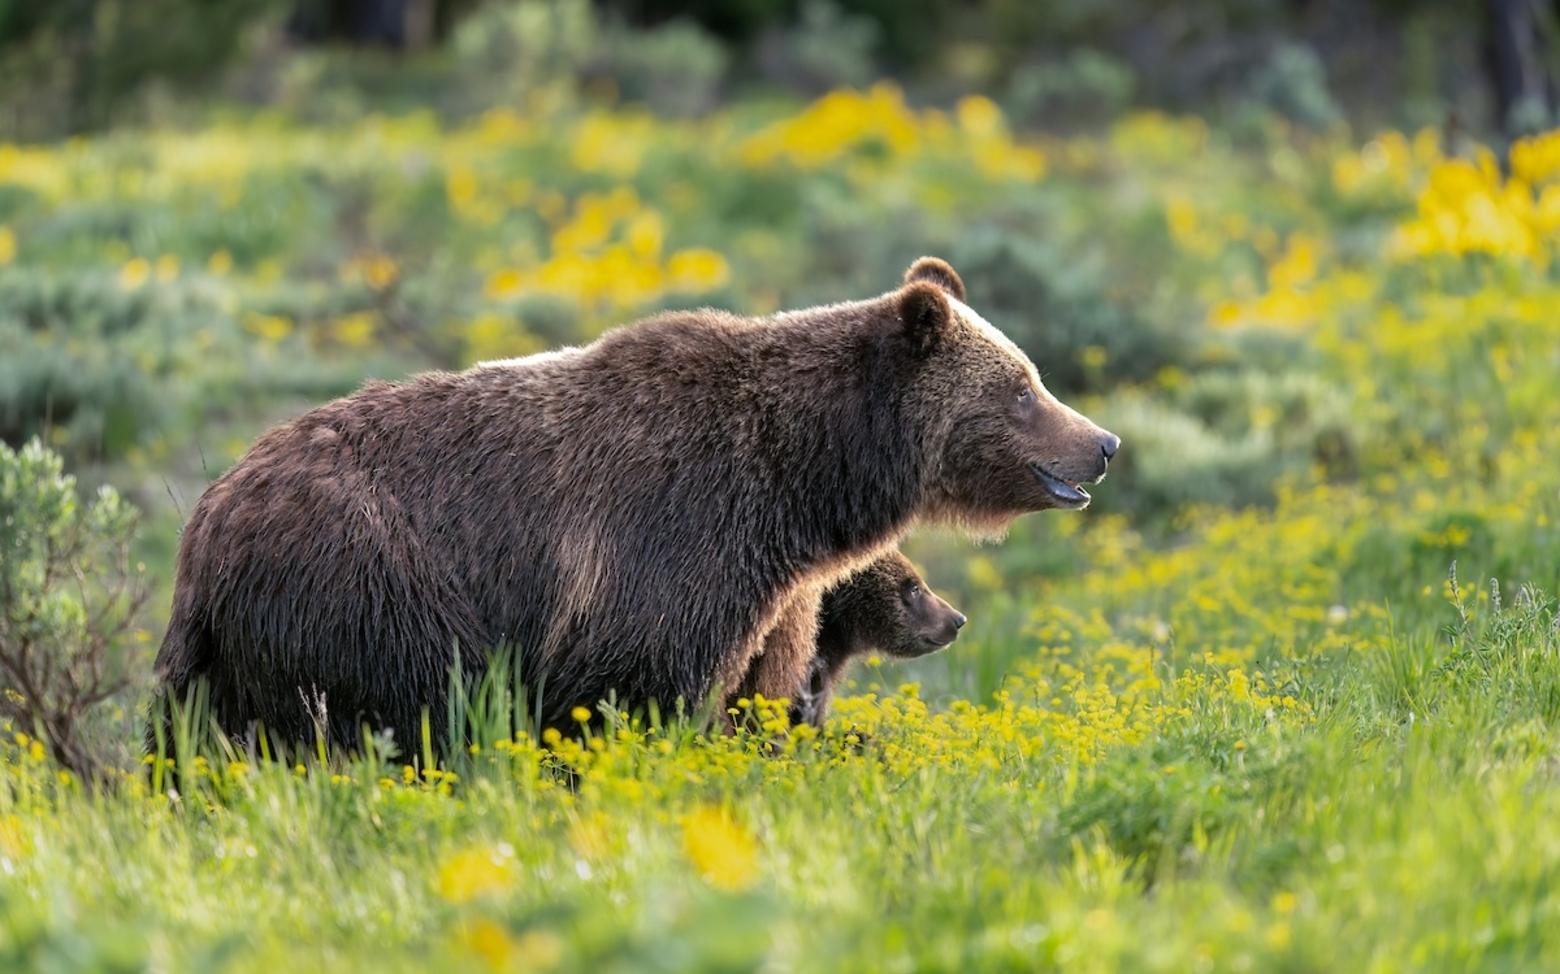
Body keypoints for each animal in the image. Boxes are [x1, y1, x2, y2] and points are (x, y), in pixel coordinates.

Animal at [146, 254, 1116, 749]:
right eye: (1023, 387)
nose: (1103, 443)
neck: (801, 483)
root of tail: (207, 519)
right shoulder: (669, 541)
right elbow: (635, 690)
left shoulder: (769, 595)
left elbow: (762, 690)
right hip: (369, 589)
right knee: (397, 716)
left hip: (228, 656)